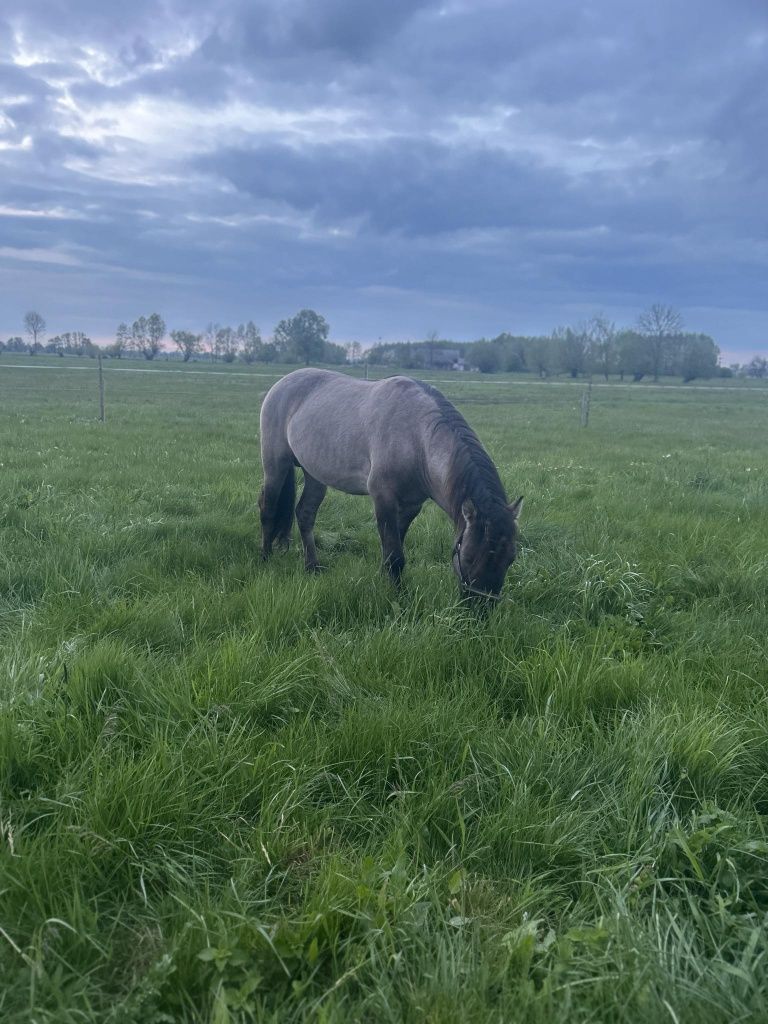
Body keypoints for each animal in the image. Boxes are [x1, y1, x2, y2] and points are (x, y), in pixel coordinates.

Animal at [259, 370, 524, 598]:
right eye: (467, 557)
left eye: (510, 558)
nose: (479, 611)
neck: (417, 438)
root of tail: (283, 382)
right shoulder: (383, 498)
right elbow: (395, 555)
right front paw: (397, 595)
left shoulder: (410, 505)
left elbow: (393, 549)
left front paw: (384, 580)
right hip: (275, 465)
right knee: (268, 510)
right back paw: (265, 558)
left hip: (315, 475)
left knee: (305, 514)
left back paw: (312, 566)